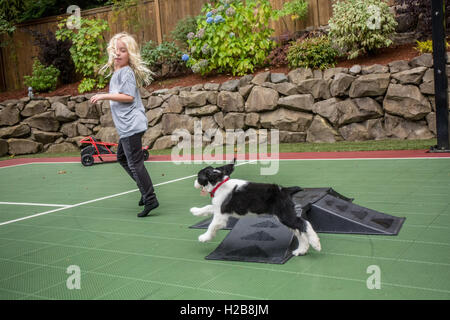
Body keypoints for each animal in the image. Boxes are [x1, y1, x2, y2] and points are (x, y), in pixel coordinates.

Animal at [190, 161, 320, 256]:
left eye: (199, 177)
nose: (194, 182)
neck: (219, 184)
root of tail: (284, 190)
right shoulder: (219, 208)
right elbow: (208, 207)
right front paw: (195, 211)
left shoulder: (220, 215)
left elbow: (211, 225)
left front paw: (204, 237)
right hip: (285, 216)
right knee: (299, 231)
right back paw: (301, 250)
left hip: (285, 215)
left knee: (304, 224)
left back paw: (316, 243)